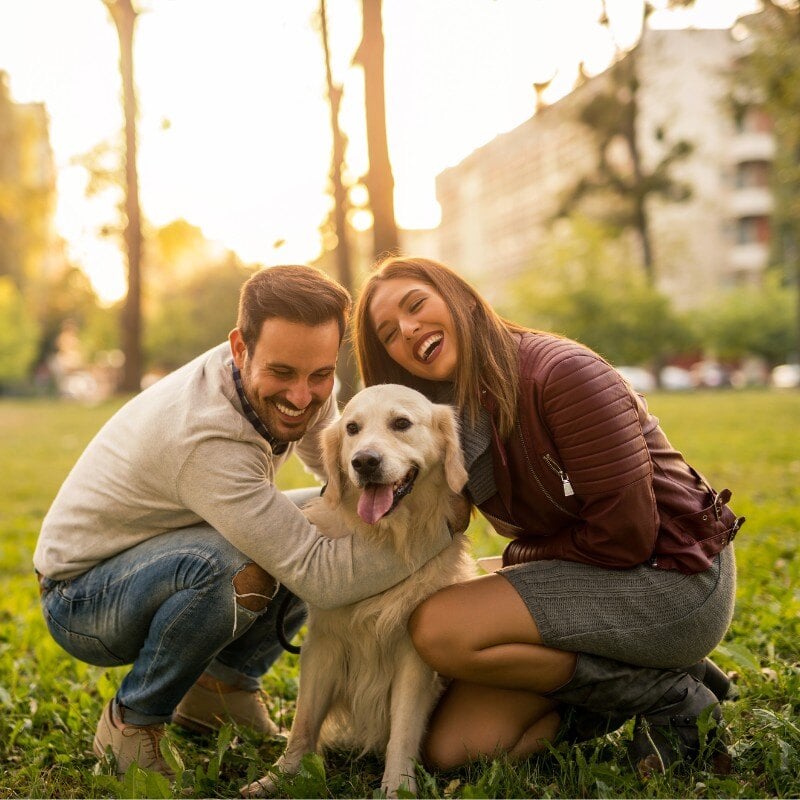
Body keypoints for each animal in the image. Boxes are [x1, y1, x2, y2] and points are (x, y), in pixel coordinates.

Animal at [242, 384, 476, 796]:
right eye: (352, 428)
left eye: (401, 423)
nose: (364, 462)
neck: (386, 536)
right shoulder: (324, 643)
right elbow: (304, 722)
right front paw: (280, 777)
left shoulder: (412, 656)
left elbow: (402, 729)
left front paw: (397, 787)